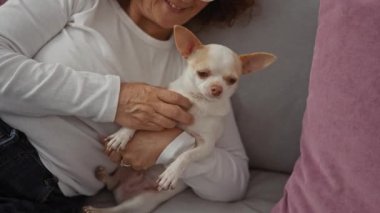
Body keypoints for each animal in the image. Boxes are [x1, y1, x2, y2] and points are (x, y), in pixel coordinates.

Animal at [82, 25, 276, 213]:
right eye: (202, 73)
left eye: (232, 80)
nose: (217, 89)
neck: (198, 103)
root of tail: (123, 191)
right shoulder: (159, 113)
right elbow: (140, 121)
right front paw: (122, 136)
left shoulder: (206, 146)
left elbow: (186, 155)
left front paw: (172, 173)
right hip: (123, 173)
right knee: (112, 184)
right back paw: (103, 178)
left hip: (139, 202)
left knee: (117, 208)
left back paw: (96, 208)